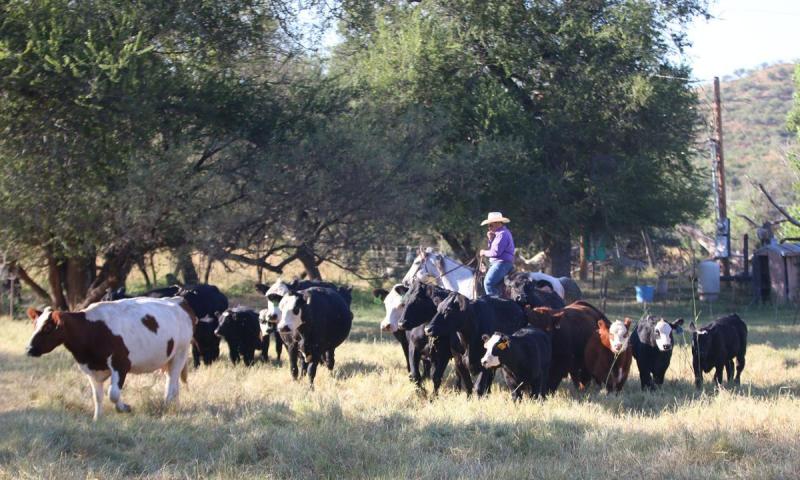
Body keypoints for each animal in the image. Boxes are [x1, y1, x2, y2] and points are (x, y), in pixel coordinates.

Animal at [25, 297, 195, 421]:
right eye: (35, 324)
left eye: (48, 327)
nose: (28, 349)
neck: (91, 329)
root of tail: (178, 300)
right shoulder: (90, 369)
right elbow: (97, 396)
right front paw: (97, 418)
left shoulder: (121, 364)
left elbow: (113, 393)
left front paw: (125, 408)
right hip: (168, 360)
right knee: (174, 383)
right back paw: (174, 406)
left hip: (180, 353)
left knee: (172, 382)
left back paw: (167, 405)